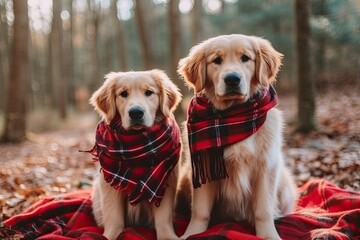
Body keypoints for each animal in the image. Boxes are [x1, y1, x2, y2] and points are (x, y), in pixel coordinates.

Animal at [89, 69, 184, 240]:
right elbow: (113, 215)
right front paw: (111, 235)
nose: (136, 113)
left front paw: (167, 236)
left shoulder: (166, 180)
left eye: (149, 92)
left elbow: (163, 216)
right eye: (123, 94)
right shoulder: (109, 183)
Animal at [178, 34, 298, 240]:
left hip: (284, 183)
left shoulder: (266, 167)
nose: (232, 79)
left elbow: (263, 210)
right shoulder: (203, 170)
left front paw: (269, 235)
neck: (234, 116)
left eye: (245, 58)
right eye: (217, 60)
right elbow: (200, 211)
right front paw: (192, 233)